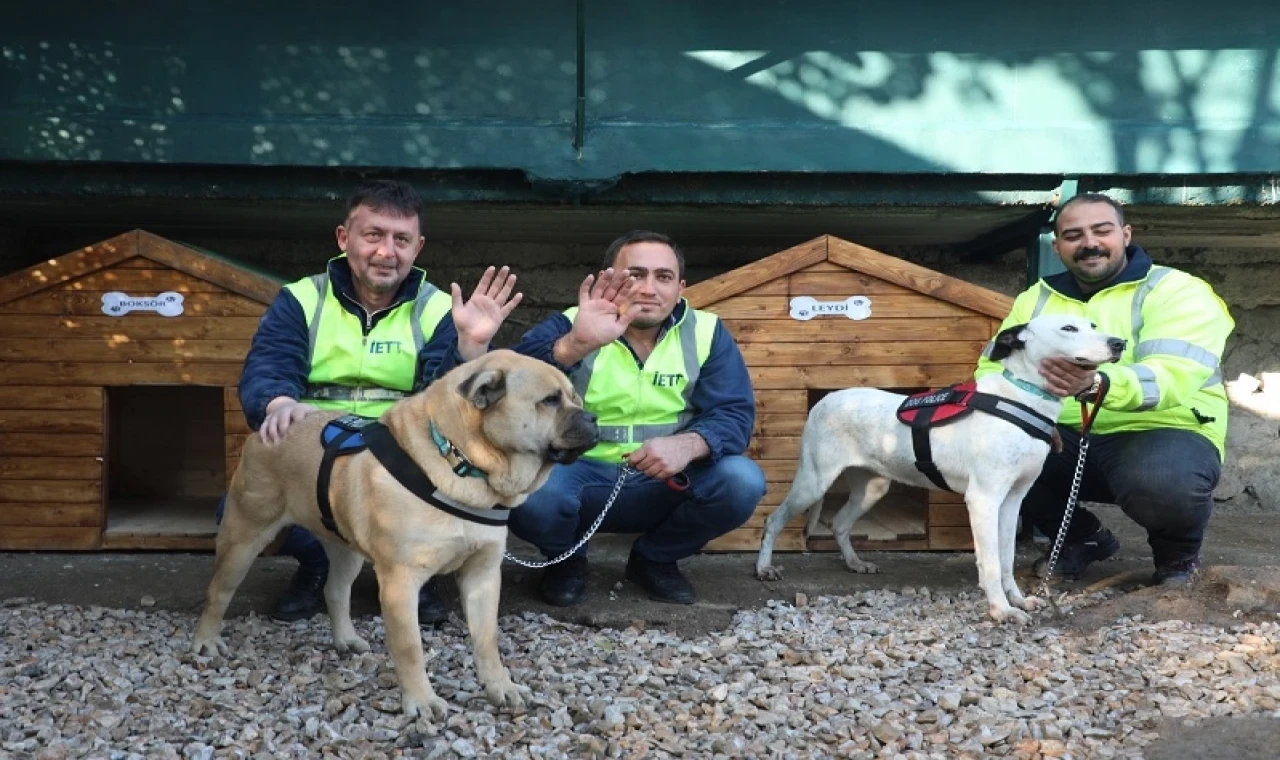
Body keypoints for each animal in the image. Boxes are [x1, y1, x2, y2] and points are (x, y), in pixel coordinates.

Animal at [190, 348, 599, 716]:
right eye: (550, 401)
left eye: (576, 398)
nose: (594, 418)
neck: (462, 461)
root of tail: (271, 426)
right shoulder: (401, 583)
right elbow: (410, 648)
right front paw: (421, 702)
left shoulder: (483, 575)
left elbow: (487, 640)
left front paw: (501, 687)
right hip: (244, 538)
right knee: (217, 592)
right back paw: (206, 642)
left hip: (345, 549)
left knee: (335, 591)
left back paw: (346, 640)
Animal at [752, 313, 1126, 621]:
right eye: (1068, 328)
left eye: (1093, 324)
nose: (1118, 343)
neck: (1024, 397)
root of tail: (824, 400)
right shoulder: (984, 499)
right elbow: (991, 563)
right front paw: (1000, 610)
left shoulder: (1013, 500)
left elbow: (1006, 559)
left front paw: (1017, 600)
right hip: (813, 481)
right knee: (774, 520)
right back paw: (765, 567)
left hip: (873, 487)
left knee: (841, 523)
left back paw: (856, 562)